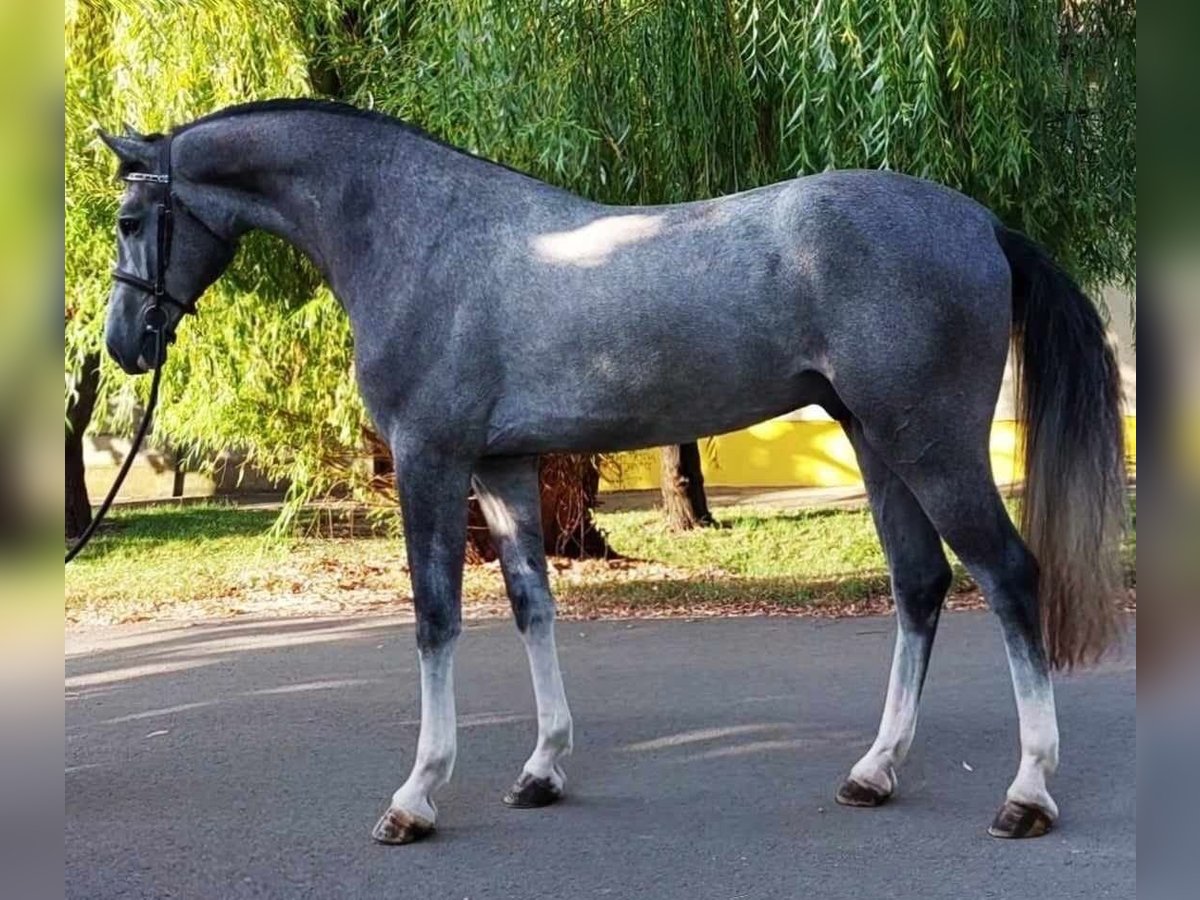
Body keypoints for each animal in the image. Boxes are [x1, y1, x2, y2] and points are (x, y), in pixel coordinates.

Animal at [100, 102, 1123, 849]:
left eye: (129, 219)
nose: (121, 344)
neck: (419, 237)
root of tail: (981, 221)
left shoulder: (432, 460)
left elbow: (435, 620)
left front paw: (417, 795)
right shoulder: (503, 466)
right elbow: (532, 606)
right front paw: (542, 769)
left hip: (933, 447)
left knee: (1009, 577)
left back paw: (1028, 792)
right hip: (878, 445)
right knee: (920, 585)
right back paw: (874, 772)